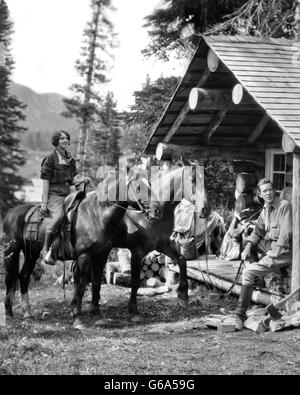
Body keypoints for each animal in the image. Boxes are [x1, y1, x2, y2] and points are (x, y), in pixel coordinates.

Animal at [2, 172, 143, 320]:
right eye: (139, 187)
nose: (151, 207)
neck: (96, 216)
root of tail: (10, 214)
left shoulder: (101, 256)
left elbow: (96, 283)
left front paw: (96, 312)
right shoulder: (84, 256)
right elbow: (81, 286)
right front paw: (77, 315)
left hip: (31, 253)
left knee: (23, 276)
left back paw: (27, 314)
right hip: (11, 251)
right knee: (9, 279)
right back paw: (9, 313)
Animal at [72, 162, 209, 330]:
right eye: (193, 179)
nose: (205, 209)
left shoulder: (163, 244)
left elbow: (182, 260)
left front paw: (183, 296)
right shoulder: (138, 251)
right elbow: (135, 280)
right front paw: (133, 310)